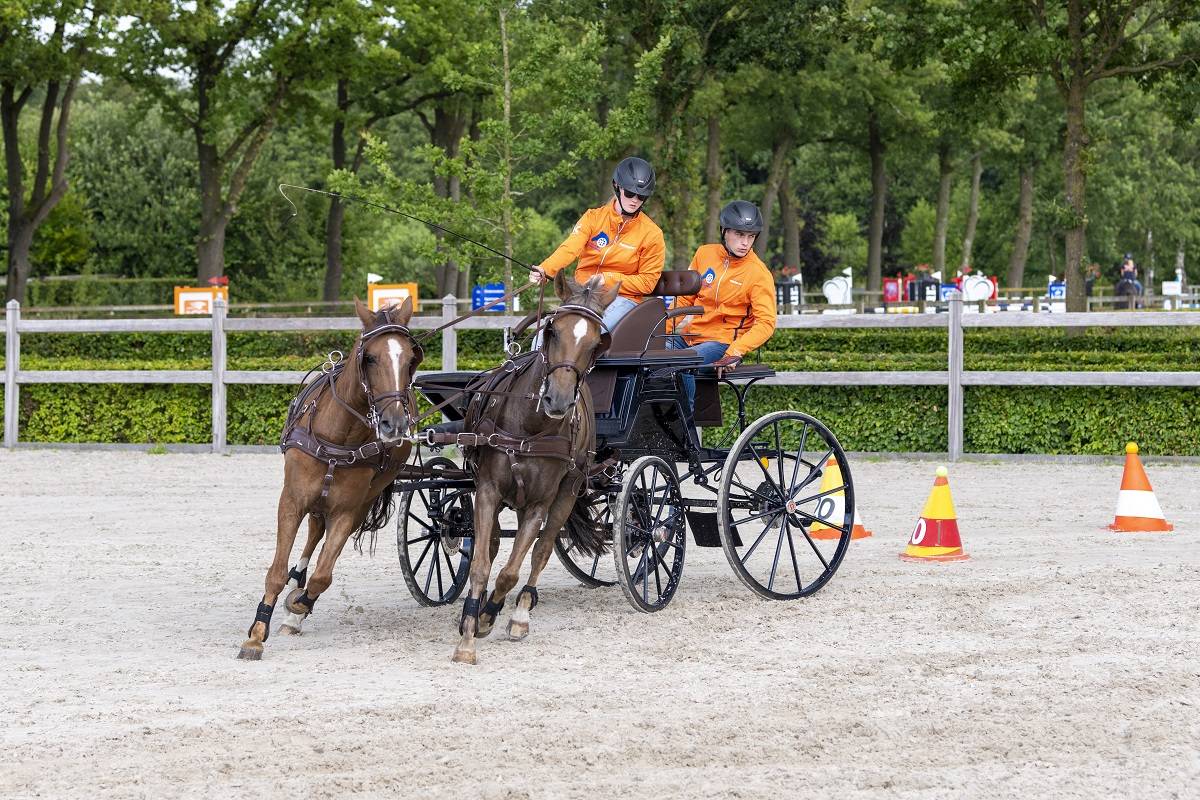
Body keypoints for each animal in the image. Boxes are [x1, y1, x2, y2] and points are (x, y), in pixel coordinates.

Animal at [237, 297, 423, 660]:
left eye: (410, 359)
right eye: (370, 358)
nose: (394, 424)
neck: (339, 435)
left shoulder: (348, 510)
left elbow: (324, 574)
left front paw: (299, 607)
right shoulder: (292, 501)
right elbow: (276, 572)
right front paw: (256, 634)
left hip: (363, 499)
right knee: (313, 531)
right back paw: (296, 577)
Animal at [452, 272, 616, 665]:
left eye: (595, 343)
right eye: (553, 330)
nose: (558, 399)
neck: (529, 427)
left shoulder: (539, 504)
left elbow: (512, 571)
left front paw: (489, 616)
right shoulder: (487, 491)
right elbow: (481, 563)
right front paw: (468, 634)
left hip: (568, 492)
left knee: (541, 550)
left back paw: (520, 613)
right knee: (495, 543)